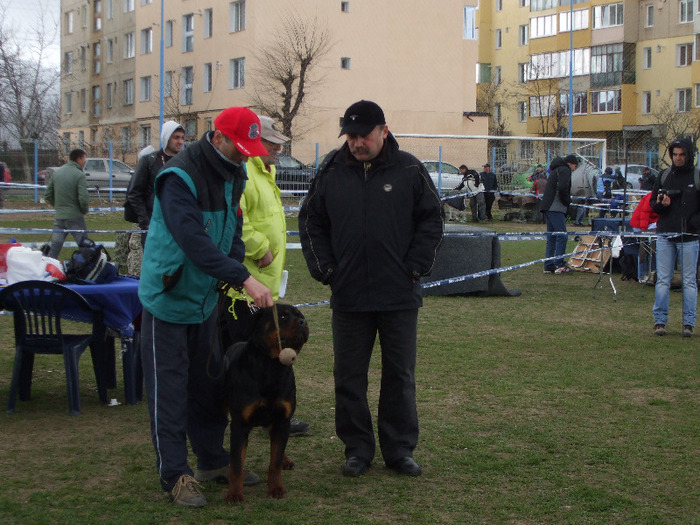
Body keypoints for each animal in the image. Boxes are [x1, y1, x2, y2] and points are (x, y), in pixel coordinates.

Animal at [221, 302, 308, 504]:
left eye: (300, 315)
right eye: (283, 317)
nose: (303, 322)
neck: (272, 367)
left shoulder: (283, 420)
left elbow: (274, 461)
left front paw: (276, 488)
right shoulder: (240, 424)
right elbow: (237, 464)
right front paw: (234, 494)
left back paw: (285, 459)